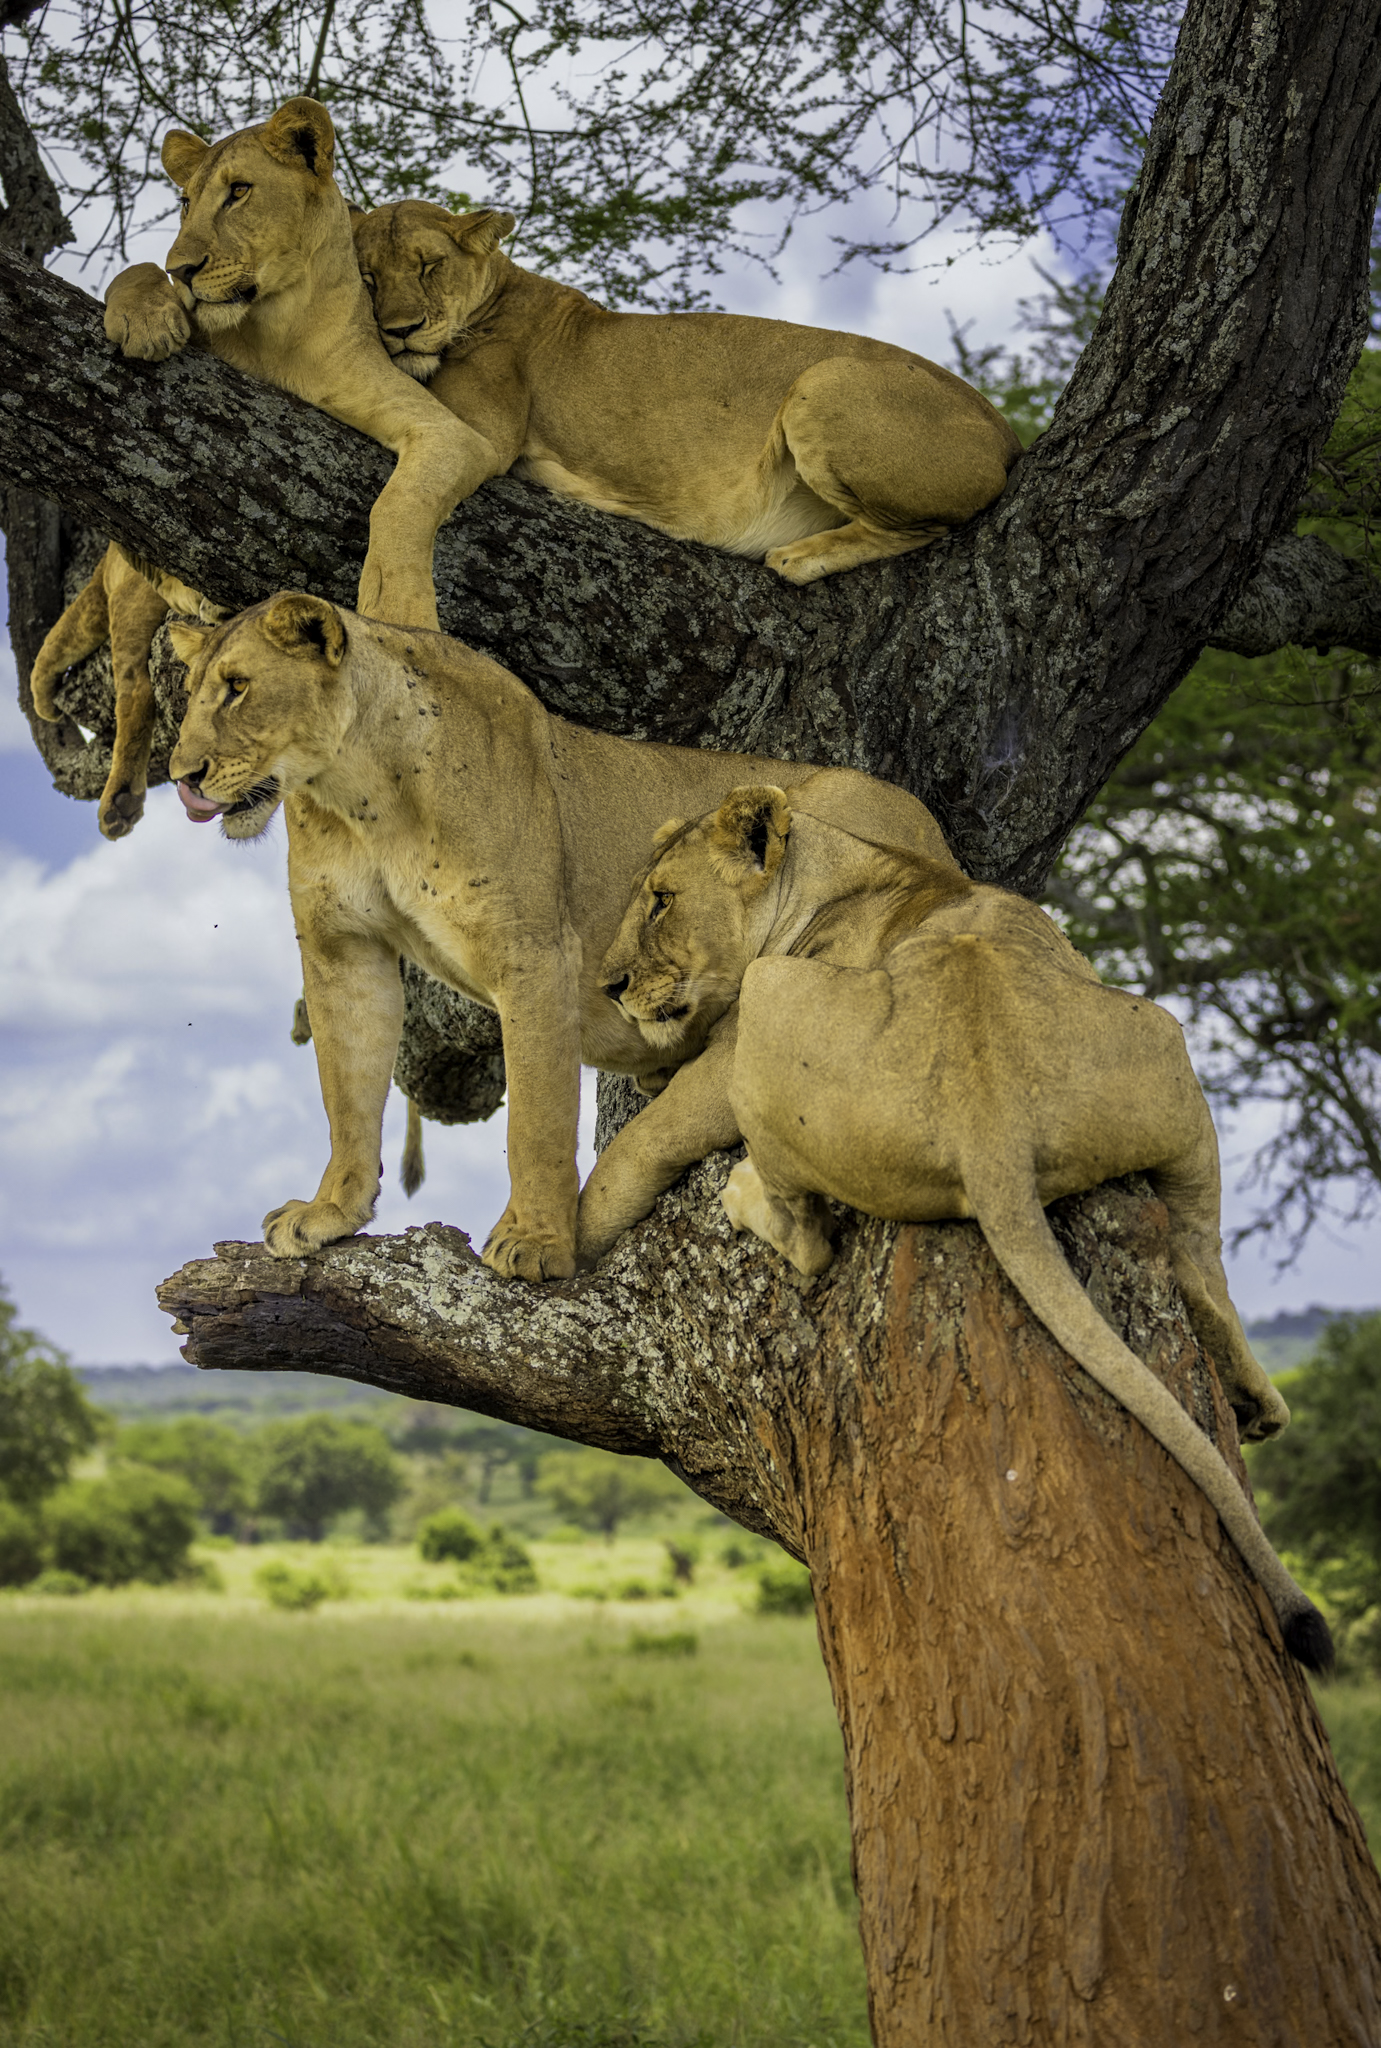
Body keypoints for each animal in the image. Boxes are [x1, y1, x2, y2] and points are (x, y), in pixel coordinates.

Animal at [165, 593, 953, 1282]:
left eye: (238, 688)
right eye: (193, 694)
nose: (180, 776)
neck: (361, 798)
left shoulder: (534, 952)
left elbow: (537, 1117)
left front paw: (540, 1243)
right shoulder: (341, 948)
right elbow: (347, 1093)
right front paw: (331, 1211)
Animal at [351, 200, 1022, 584]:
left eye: (429, 265)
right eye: (368, 276)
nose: (400, 331)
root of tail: (1006, 431)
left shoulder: (482, 434)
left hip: (825, 378)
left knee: (927, 528)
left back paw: (798, 559)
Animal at [581, 784, 1332, 1671]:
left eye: (661, 899)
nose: (610, 985)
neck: (835, 868)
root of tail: (989, 1108)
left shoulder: (728, 1049)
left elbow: (646, 1136)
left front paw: (553, 1235)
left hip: (777, 995)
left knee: (808, 1240)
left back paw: (742, 1195)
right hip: (1162, 1043)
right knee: (1198, 1258)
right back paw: (1253, 1395)